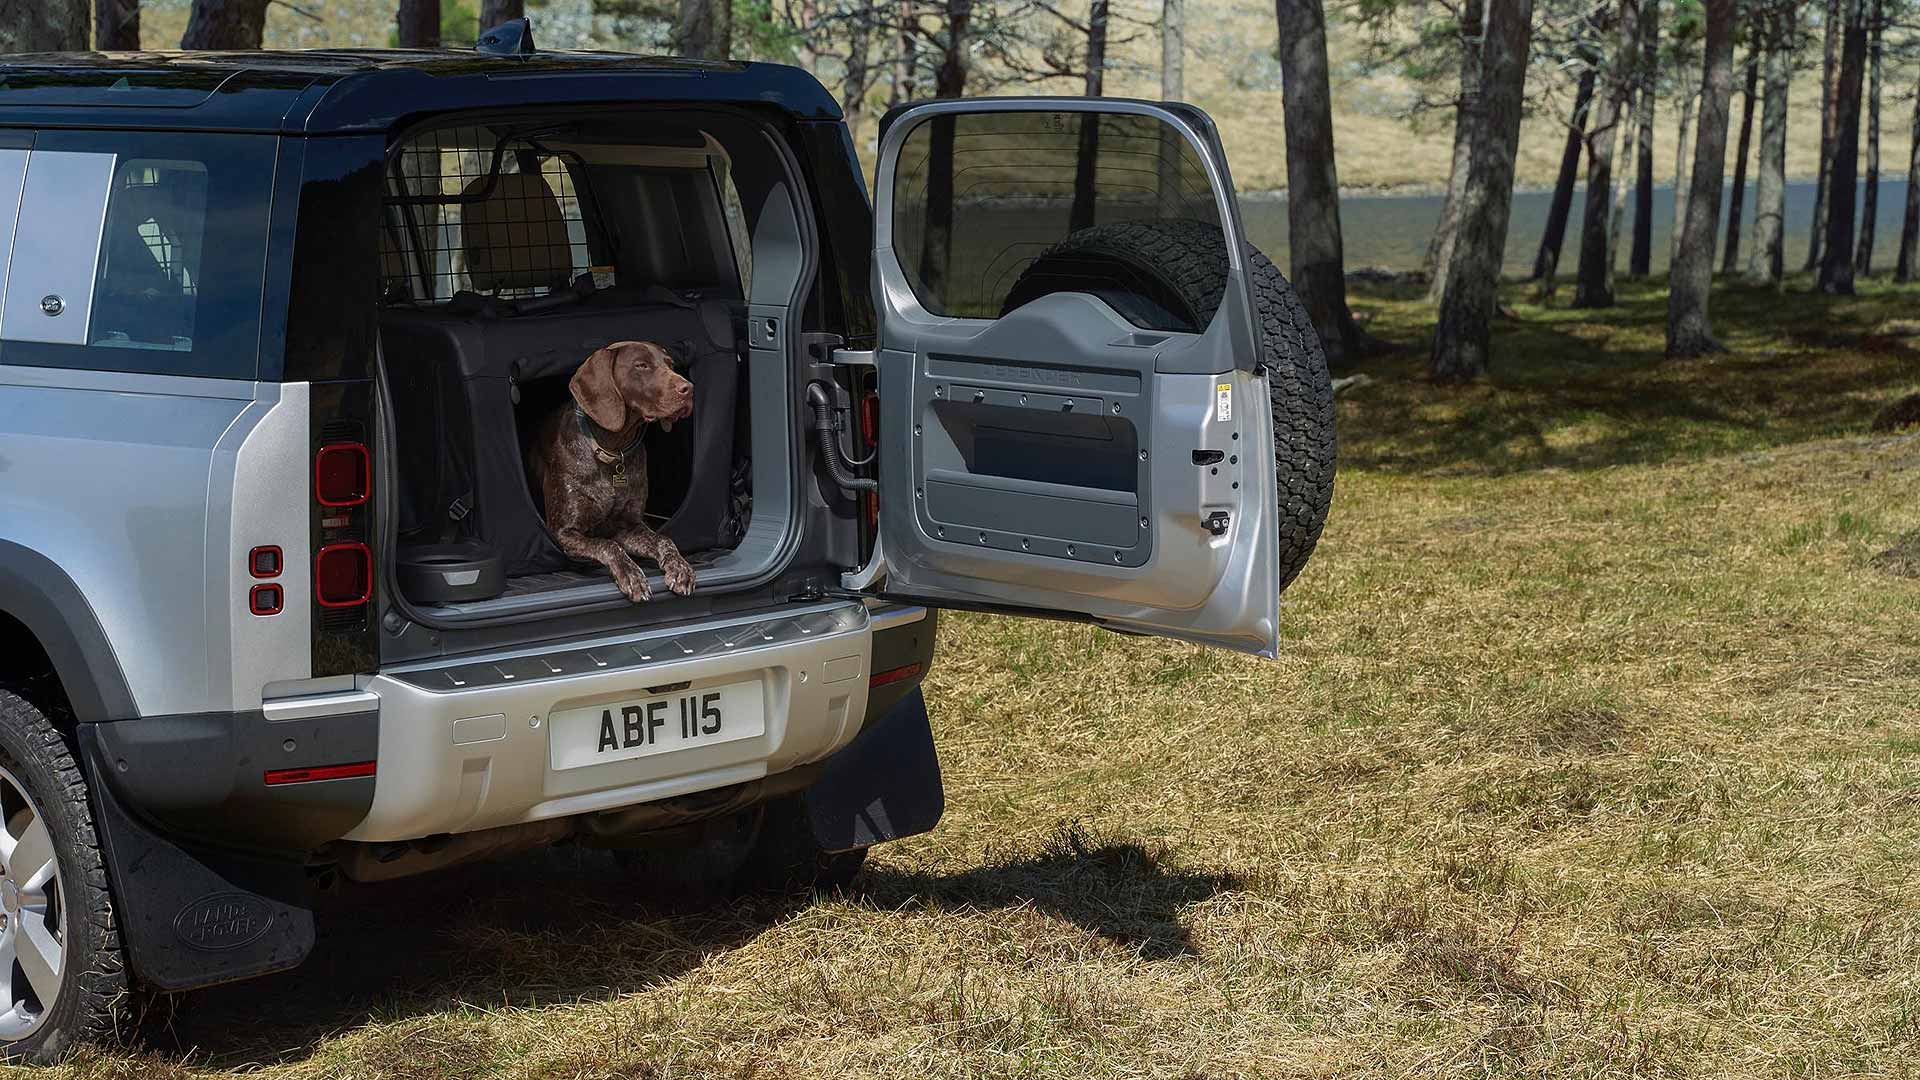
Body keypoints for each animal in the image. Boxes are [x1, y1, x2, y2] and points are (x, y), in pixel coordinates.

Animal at [529, 340, 695, 599]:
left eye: (670, 365)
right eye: (641, 365)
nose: (689, 388)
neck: (613, 449)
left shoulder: (628, 527)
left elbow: (663, 539)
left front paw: (680, 567)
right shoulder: (564, 532)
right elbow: (608, 544)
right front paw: (631, 574)